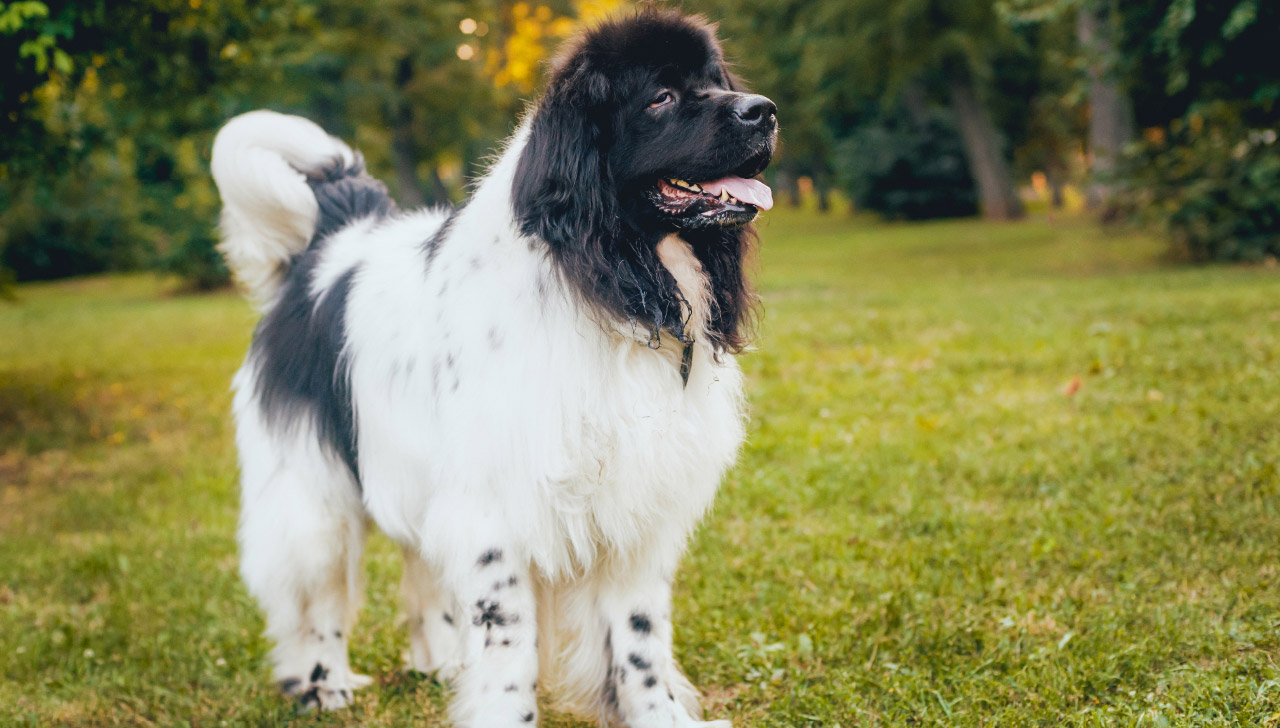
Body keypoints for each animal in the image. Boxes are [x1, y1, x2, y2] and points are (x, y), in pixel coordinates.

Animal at [207, 8, 778, 721]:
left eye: (716, 82)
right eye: (662, 97)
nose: (764, 111)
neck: (607, 281)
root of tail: (333, 239)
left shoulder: (633, 511)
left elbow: (640, 642)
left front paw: (657, 716)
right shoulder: (496, 511)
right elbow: (511, 648)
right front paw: (505, 709)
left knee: (418, 563)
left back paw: (440, 662)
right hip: (313, 493)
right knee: (319, 592)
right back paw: (323, 682)